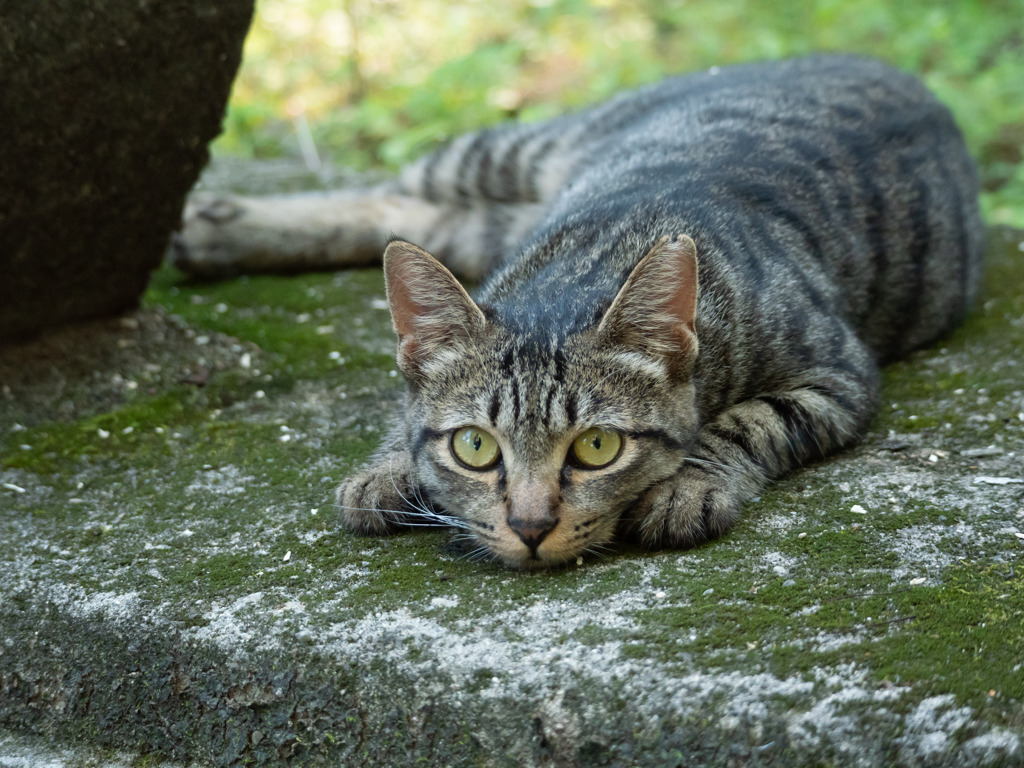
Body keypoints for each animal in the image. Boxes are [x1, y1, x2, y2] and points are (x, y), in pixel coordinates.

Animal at [176, 55, 983, 573]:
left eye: (597, 448)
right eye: (476, 446)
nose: (531, 525)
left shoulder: (836, 374)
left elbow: (746, 421)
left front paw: (688, 482)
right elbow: (406, 418)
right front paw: (389, 466)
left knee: (407, 206)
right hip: (501, 150)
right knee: (390, 193)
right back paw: (213, 226)